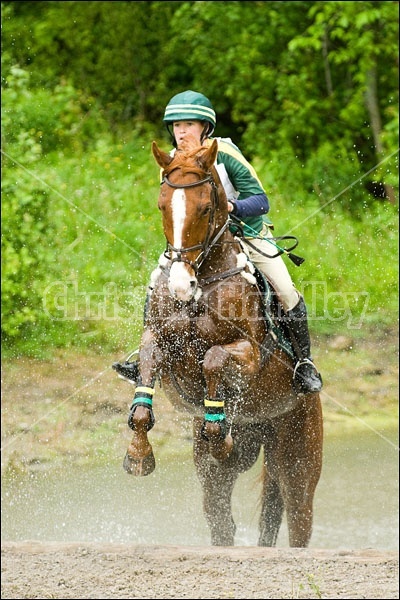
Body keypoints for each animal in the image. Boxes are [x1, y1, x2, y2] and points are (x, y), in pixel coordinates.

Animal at [121, 136, 322, 548]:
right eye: (162, 205)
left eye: (204, 207)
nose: (181, 285)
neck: (201, 285)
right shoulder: (159, 343)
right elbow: (146, 377)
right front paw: (138, 455)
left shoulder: (250, 353)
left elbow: (213, 358)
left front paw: (217, 426)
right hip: (235, 458)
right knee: (223, 520)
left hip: (298, 453)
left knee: (298, 520)